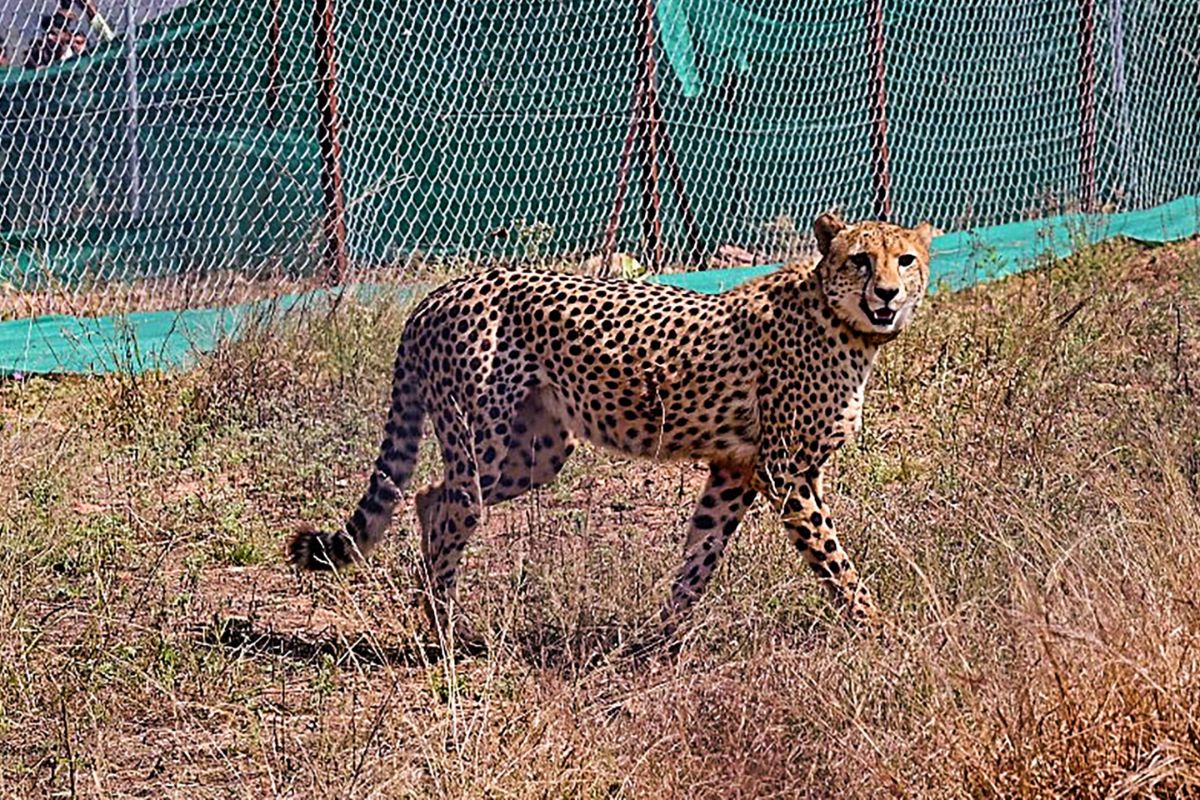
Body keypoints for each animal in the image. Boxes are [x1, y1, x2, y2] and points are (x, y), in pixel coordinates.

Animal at [286, 212, 934, 650]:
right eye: (860, 259)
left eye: (905, 260)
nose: (887, 293)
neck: (842, 322)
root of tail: (436, 295)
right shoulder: (785, 473)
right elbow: (834, 560)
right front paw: (879, 629)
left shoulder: (735, 469)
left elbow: (700, 555)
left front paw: (661, 636)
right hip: (483, 442)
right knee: (450, 507)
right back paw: (446, 633)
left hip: (536, 454)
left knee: (427, 496)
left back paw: (436, 613)